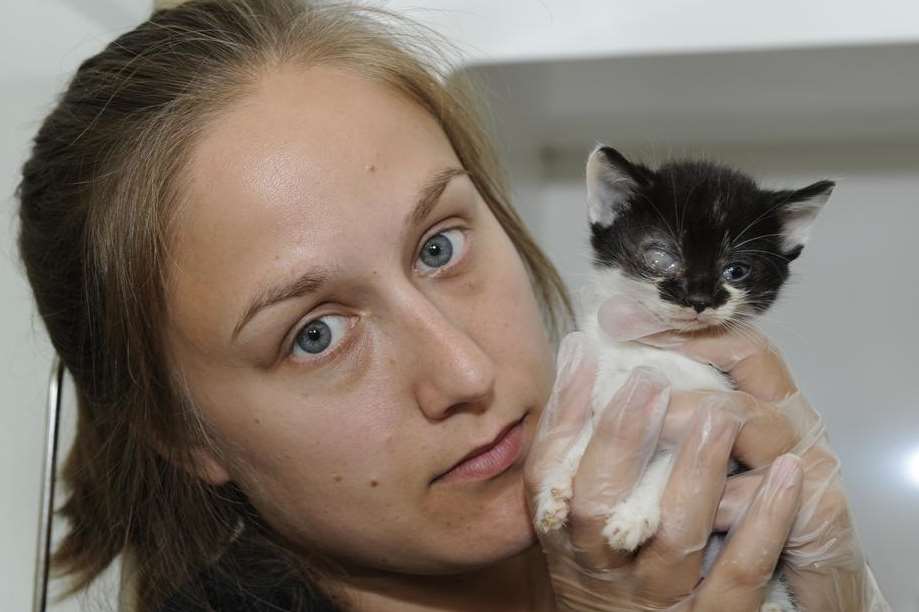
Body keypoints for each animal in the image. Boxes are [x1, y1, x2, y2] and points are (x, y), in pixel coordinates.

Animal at [536, 145, 836, 612]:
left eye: (736, 270)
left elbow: (674, 459)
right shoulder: (609, 374)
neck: (660, 351)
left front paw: (635, 514)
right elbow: (593, 424)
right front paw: (557, 484)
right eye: (662, 256)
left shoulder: (718, 404)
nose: (699, 298)